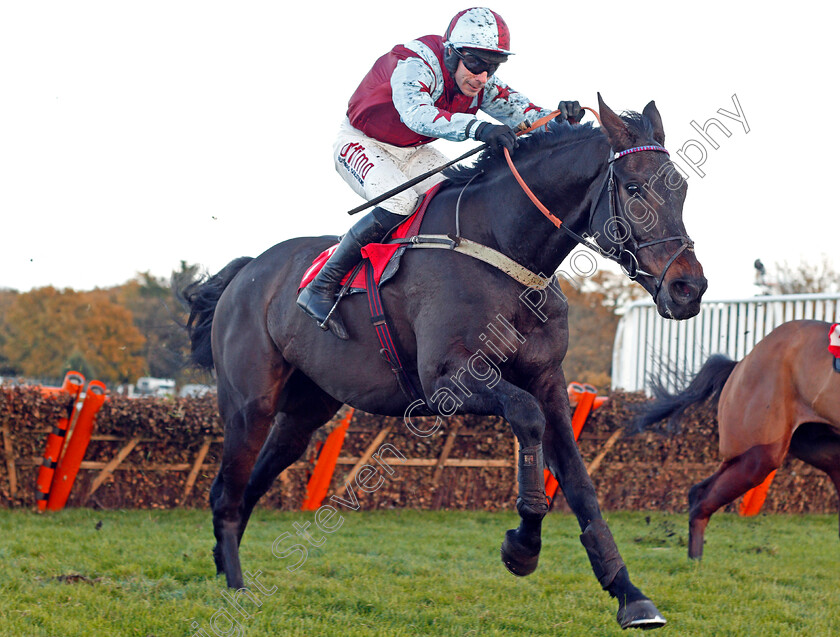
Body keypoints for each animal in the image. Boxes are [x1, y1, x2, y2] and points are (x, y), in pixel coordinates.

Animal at [184, 94, 708, 628]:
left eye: (682, 188)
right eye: (634, 188)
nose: (689, 288)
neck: (503, 249)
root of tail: (246, 271)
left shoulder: (548, 381)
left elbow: (580, 485)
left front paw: (628, 594)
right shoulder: (446, 384)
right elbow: (527, 419)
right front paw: (523, 546)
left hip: (305, 409)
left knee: (254, 481)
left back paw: (225, 563)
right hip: (249, 405)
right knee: (226, 491)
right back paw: (235, 587)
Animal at [636, 318, 840, 556]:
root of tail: (741, 362)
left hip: (819, 448)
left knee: (699, 491)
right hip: (759, 453)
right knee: (701, 495)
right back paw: (695, 560)